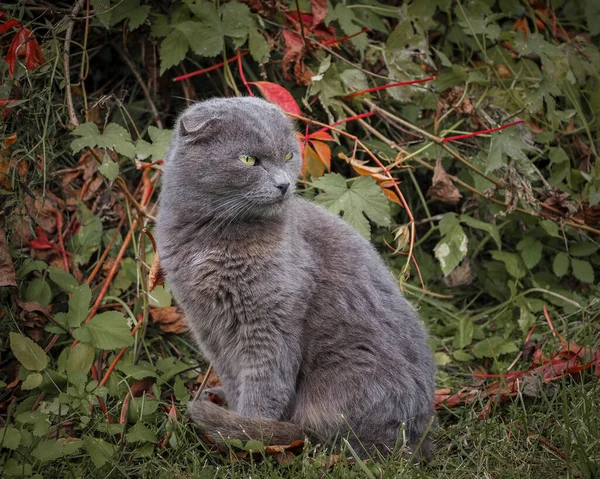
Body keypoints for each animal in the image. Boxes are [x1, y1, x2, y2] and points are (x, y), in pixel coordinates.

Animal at [155, 95, 436, 460]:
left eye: (289, 156)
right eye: (248, 159)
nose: (284, 184)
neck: (211, 237)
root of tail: (419, 438)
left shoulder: (268, 321)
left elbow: (264, 381)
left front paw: (248, 434)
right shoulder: (208, 324)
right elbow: (233, 374)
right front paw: (235, 416)